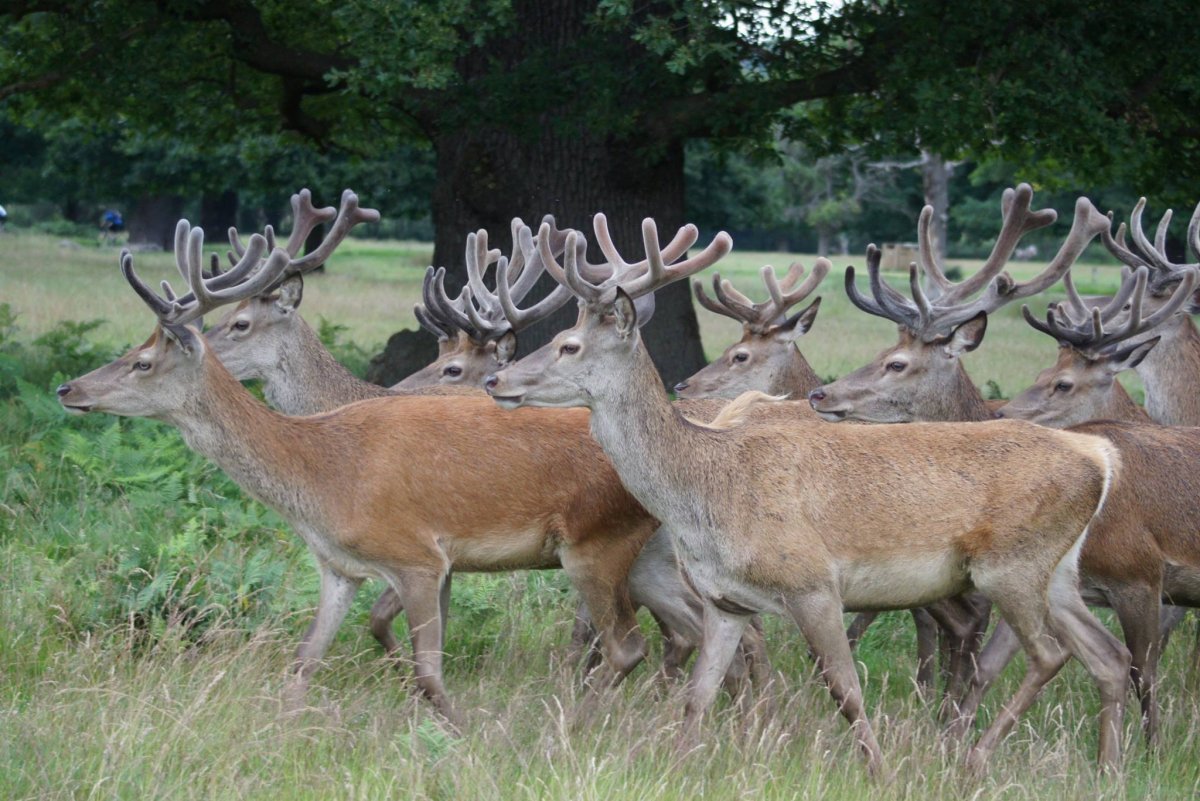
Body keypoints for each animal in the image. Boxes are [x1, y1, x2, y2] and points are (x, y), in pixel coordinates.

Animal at [482, 211, 1128, 767]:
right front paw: (679, 763)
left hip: (1011, 565)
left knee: (1049, 653)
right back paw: (1108, 767)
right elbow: (699, 694)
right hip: (1059, 572)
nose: (496, 380)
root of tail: (1098, 458)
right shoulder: (727, 600)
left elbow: (846, 690)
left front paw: (879, 772)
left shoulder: (813, 582)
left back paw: (973, 756)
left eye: (568, 345)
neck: (709, 492)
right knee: (1107, 655)